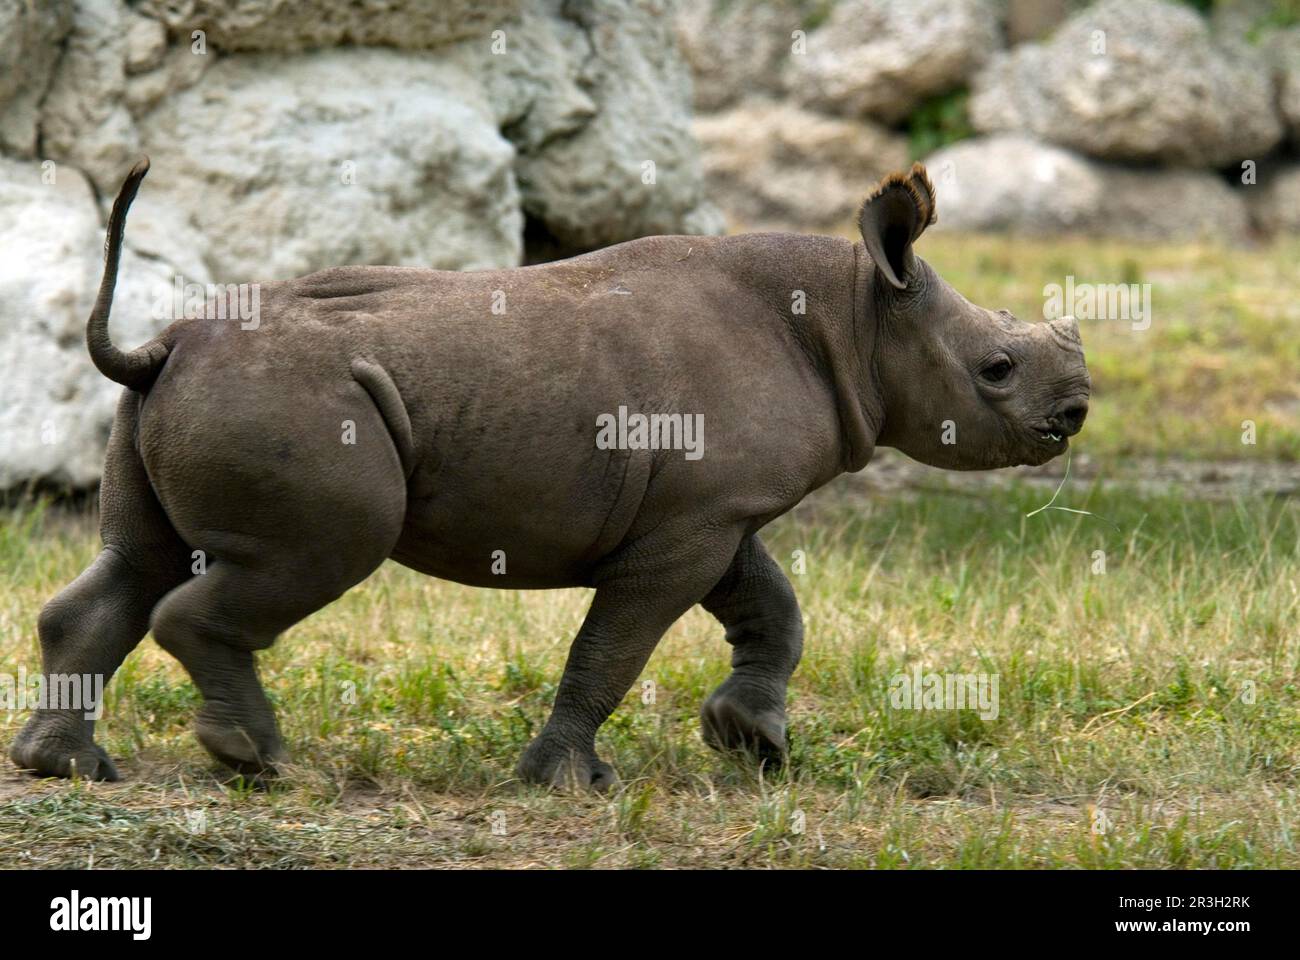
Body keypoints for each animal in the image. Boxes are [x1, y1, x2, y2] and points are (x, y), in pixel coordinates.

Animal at [10, 158, 1086, 785]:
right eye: (996, 369)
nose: (1073, 415)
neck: (855, 315)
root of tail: (159, 347)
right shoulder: (688, 524)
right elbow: (611, 649)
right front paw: (565, 782)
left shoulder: (712, 510)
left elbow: (772, 610)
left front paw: (753, 745)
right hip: (294, 408)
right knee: (308, 558)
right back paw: (262, 764)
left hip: (168, 406)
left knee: (135, 560)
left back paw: (70, 768)